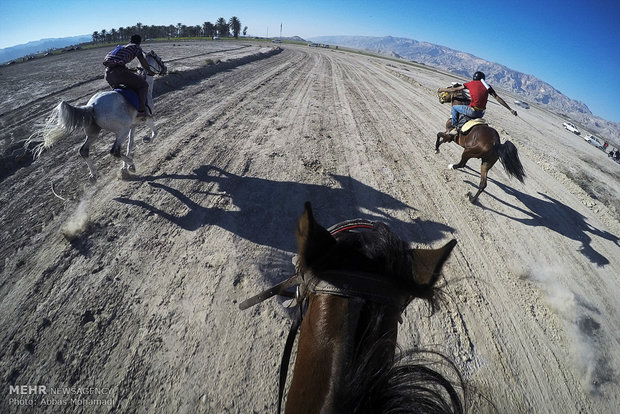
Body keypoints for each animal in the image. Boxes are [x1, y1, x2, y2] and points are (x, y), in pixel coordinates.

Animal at [31, 50, 166, 181]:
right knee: (114, 151)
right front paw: (146, 140)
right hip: (122, 130)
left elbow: (130, 144)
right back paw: (130, 162)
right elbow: (155, 132)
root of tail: (92, 106)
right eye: (159, 59)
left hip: (93, 133)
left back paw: (94, 174)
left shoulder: (133, 125)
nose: (165, 69)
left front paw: (125, 168)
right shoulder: (146, 119)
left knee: (84, 151)